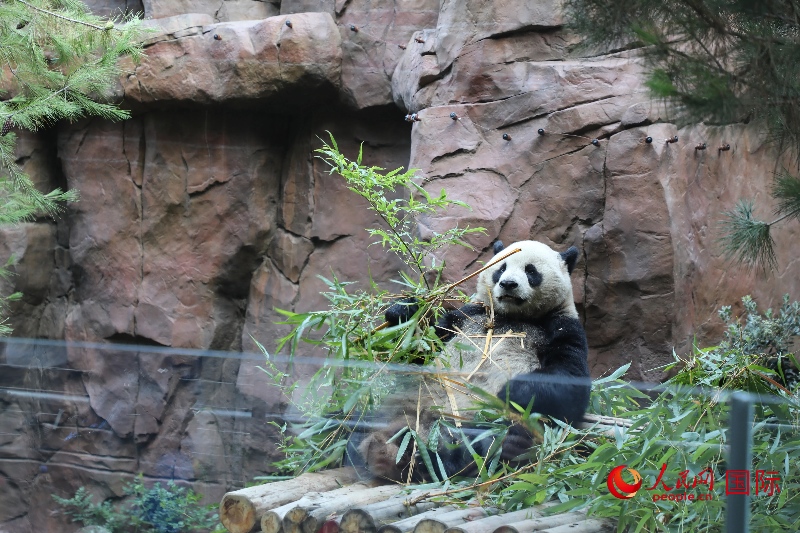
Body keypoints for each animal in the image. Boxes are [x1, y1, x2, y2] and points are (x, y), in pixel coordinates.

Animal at [346, 239, 592, 480]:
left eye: (530, 271)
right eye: (501, 268)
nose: (508, 284)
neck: (509, 316)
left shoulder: (561, 327)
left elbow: (569, 382)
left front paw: (511, 391)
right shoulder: (464, 318)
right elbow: (420, 350)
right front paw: (404, 312)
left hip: (484, 423)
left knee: (484, 444)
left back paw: (424, 456)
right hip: (394, 404)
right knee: (355, 418)